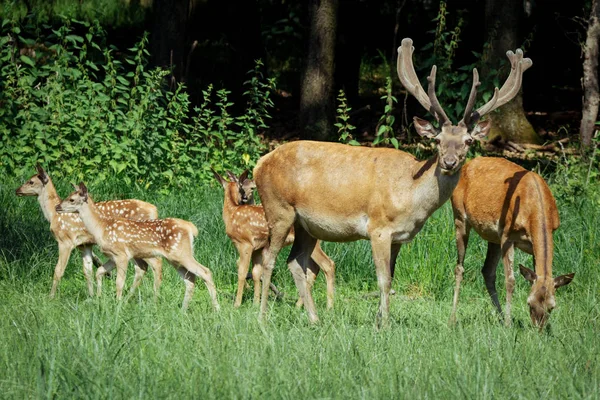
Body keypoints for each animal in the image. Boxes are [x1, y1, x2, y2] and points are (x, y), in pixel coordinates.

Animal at [15, 164, 163, 298]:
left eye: (31, 181)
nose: (17, 190)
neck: (52, 215)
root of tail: (154, 210)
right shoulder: (84, 244)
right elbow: (87, 271)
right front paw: (91, 297)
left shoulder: (65, 241)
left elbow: (59, 270)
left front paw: (51, 297)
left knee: (148, 265)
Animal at [55, 183, 219, 310]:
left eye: (72, 199)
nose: (57, 206)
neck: (101, 228)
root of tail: (191, 228)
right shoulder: (113, 256)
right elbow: (99, 271)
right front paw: (98, 298)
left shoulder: (122, 254)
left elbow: (119, 282)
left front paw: (118, 305)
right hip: (175, 258)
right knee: (190, 278)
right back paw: (183, 310)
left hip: (181, 253)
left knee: (205, 272)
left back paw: (216, 309)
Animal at [212, 169, 336, 310]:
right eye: (242, 189)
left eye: (246, 189)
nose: (243, 198)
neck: (231, 213)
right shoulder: (258, 247)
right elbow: (256, 272)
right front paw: (256, 303)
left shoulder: (245, 244)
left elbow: (242, 272)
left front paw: (237, 304)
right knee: (314, 268)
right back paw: (299, 305)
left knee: (327, 264)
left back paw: (329, 307)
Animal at [252, 37, 528, 324]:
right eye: (438, 140)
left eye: (468, 141)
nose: (449, 162)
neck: (411, 196)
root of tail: (259, 164)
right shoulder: (379, 227)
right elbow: (383, 280)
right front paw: (383, 324)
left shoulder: (398, 237)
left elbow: (391, 278)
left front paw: (379, 320)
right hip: (278, 209)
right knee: (269, 259)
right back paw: (262, 317)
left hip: (306, 225)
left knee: (295, 261)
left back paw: (314, 318)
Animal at [450, 156, 572, 328]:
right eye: (529, 303)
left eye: (552, 307)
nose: (538, 329)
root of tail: (467, 164)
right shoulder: (507, 235)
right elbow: (510, 281)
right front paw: (509, 324)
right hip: (459, 216)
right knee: (459, 268)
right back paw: (452, 319)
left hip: (493, 237)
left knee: (487, 271)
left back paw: (500, 316)